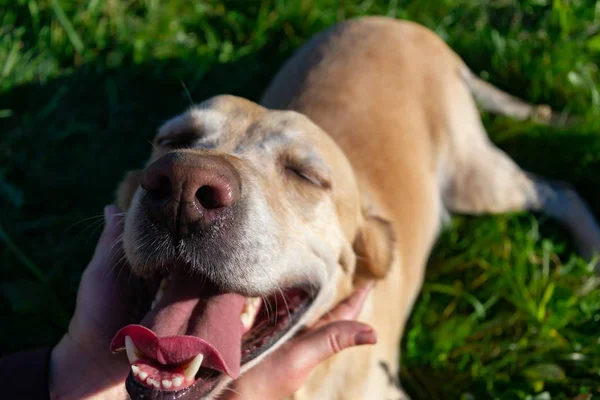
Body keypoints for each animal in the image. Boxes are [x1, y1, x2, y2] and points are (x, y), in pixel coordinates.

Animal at [112, 17, 600, 400]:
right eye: (172, 139)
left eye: (306, 174)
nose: (181, 186)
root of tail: (407, 25)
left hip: (476, 180)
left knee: (557, 189)